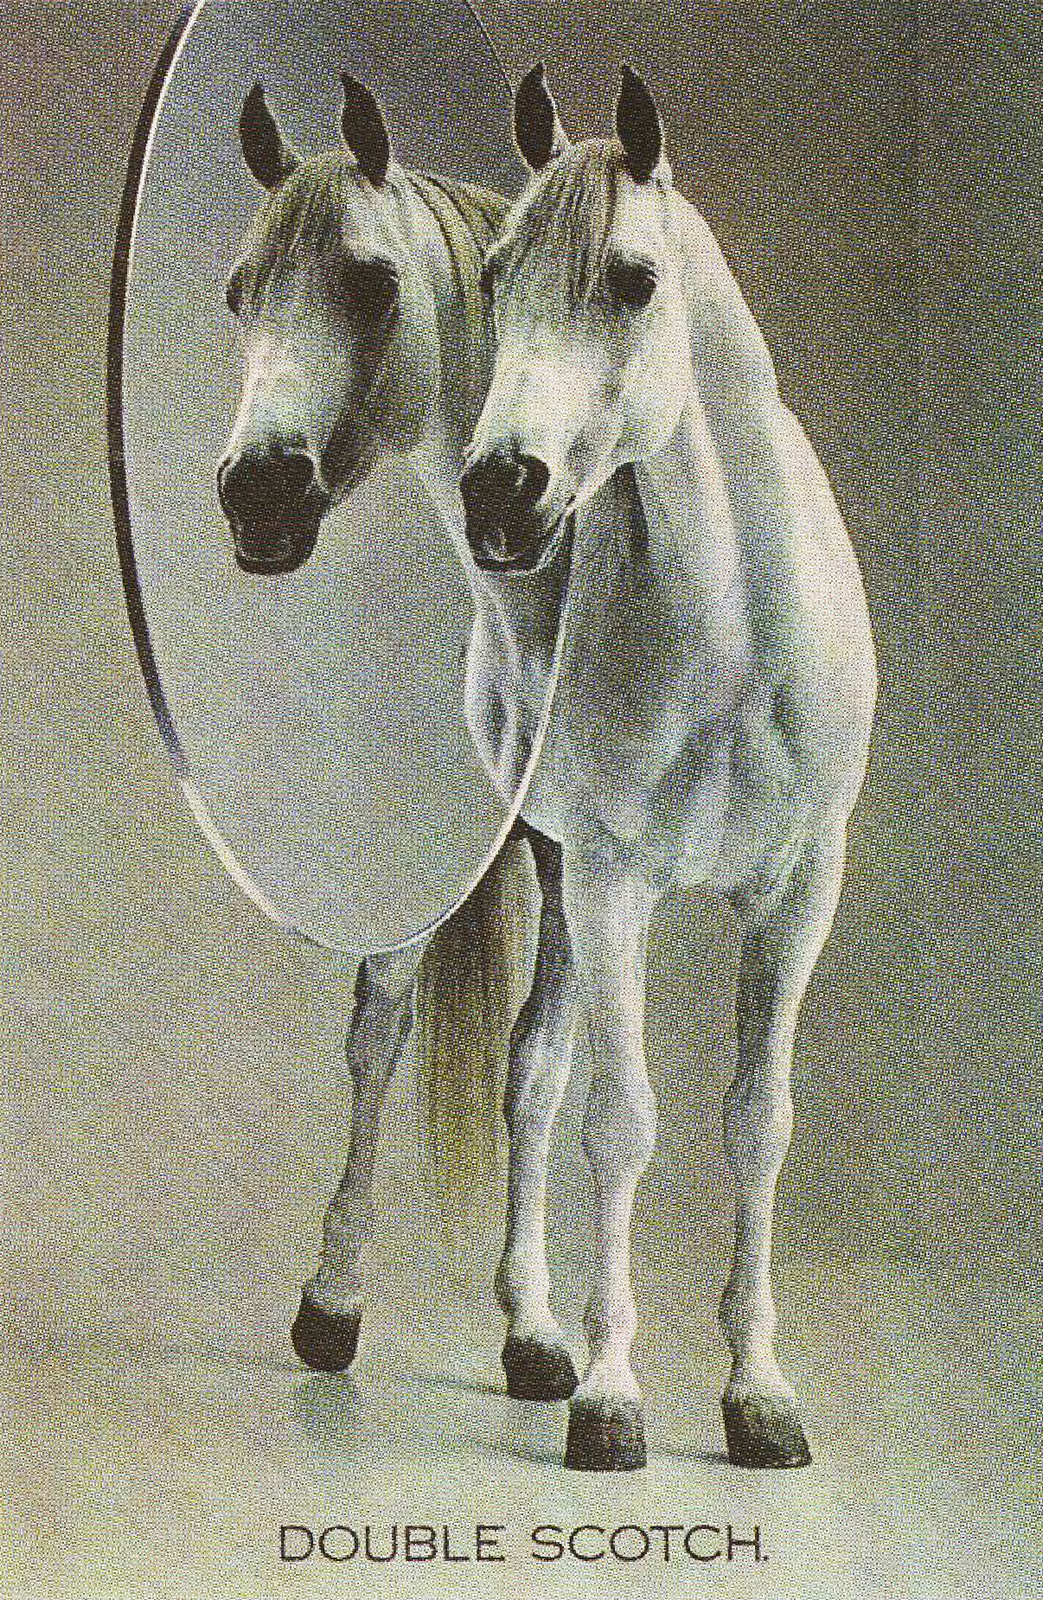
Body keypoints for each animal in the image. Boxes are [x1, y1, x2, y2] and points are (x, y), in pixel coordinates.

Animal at [457, 64, 877, 1472]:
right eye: (496, 275)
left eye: (633, 278)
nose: (501, 492)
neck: (735, 633)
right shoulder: (616, 883)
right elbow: (623, 1122)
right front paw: (610, 1395)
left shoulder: (798, 893)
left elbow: (757, 1123)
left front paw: (757, 1392)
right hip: (526, 874)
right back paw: (359, 1316)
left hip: (559, 883)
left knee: (530, 1069)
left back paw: (531, 1334)